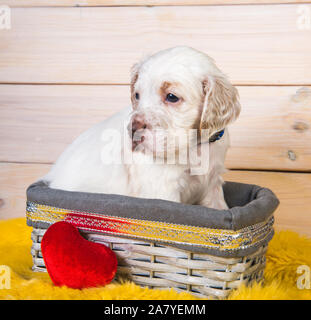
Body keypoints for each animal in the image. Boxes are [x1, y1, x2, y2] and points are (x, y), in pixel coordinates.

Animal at [45, 45, 241, 210]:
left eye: (171, 97)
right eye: (137, 95)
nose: (133, 129)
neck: (194, 146)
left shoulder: (212, 183)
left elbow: (219, 207)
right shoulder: (163, 189)